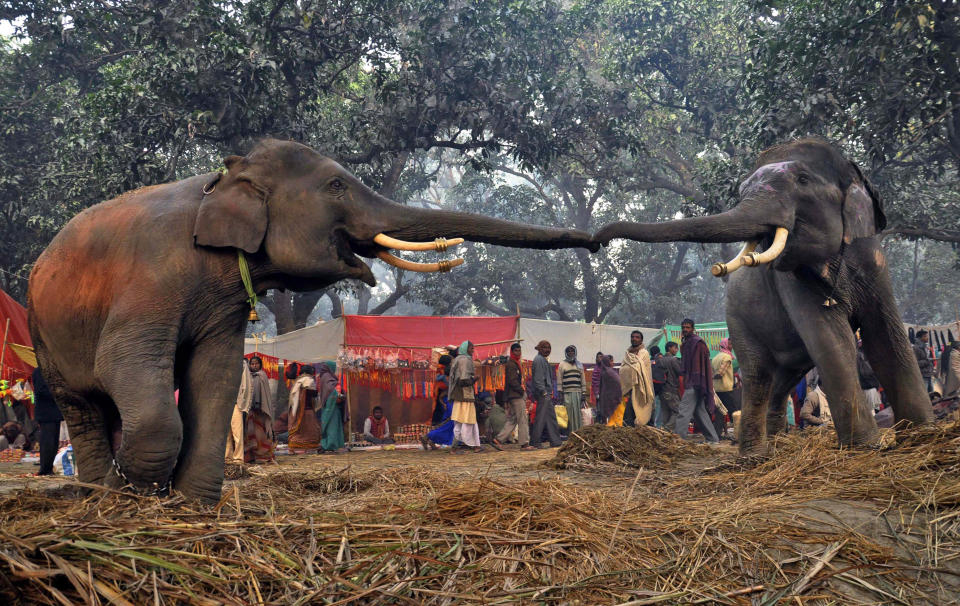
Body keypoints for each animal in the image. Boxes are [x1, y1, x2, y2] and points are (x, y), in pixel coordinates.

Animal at [30, 139, 596, 504]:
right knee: (83, 402)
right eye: (336, 186)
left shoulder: (223, 303)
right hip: (44, 332)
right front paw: (140, 495)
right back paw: (102, 494)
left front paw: (189, 507)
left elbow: (215, 378)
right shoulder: (151, 278)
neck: (223, 181)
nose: (596, 239)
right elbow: (124, 364)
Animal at [596, 138, 932, 458]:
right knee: (759, 375)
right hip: (738, 319)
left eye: (803, 180)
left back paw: (777, 443)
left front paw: (923, 435)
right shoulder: (791, 280)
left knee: (783, 376)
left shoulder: (873, 260)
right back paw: (755, 456)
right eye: (742, 190)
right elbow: (834, 341)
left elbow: (885, 335)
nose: (597, 240)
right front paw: (867, 447)